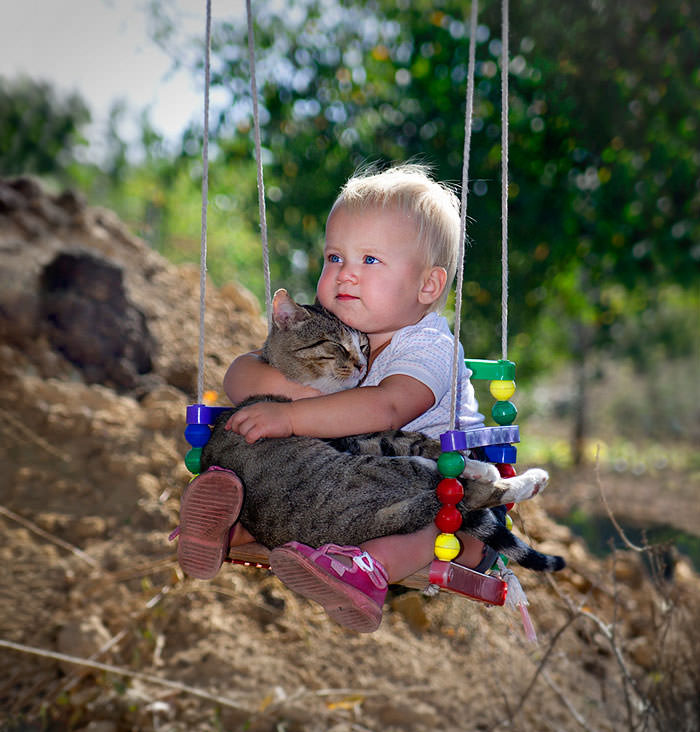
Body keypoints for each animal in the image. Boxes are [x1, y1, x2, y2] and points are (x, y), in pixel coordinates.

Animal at [201, 290, 564, 572]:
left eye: (363, 346)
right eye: (335, 345)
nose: (362, 365)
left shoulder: (361, 433)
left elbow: (414, 439)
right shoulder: (357, 437)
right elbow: (415, 442)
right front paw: (474, 463)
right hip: (378, 471)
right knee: (464, 492)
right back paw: (518, 477)